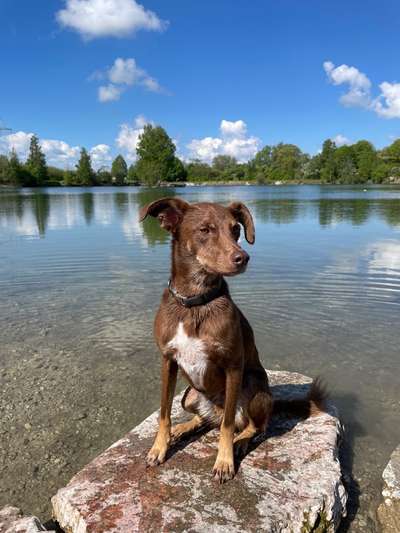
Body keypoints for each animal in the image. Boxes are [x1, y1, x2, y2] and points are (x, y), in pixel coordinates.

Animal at [139, 197, 324, 480]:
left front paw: (224, 461)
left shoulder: (233, 367)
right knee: (204, 419)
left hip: (256, 390)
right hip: (189, 395)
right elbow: (164, 413)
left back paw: (240, 441)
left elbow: (227, 426)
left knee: (252, 425)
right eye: (204, 230)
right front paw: (160, 447)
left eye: (236, 230)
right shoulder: (168, 361)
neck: (196, 303)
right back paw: (184, 428)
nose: (243, 258)